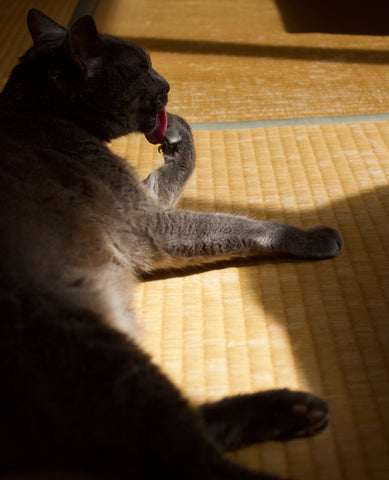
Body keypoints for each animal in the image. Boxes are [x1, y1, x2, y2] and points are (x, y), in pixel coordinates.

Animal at [0, 8, 340, 480]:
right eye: (143, 66)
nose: (167, 83)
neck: (40, 112)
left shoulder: (150, 201)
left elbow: (179, 166)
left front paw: (177, 130)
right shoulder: (147, 225)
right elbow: (232, 224)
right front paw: (312, 237)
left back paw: (294, 411)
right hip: (100, 356)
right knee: (187, 456)